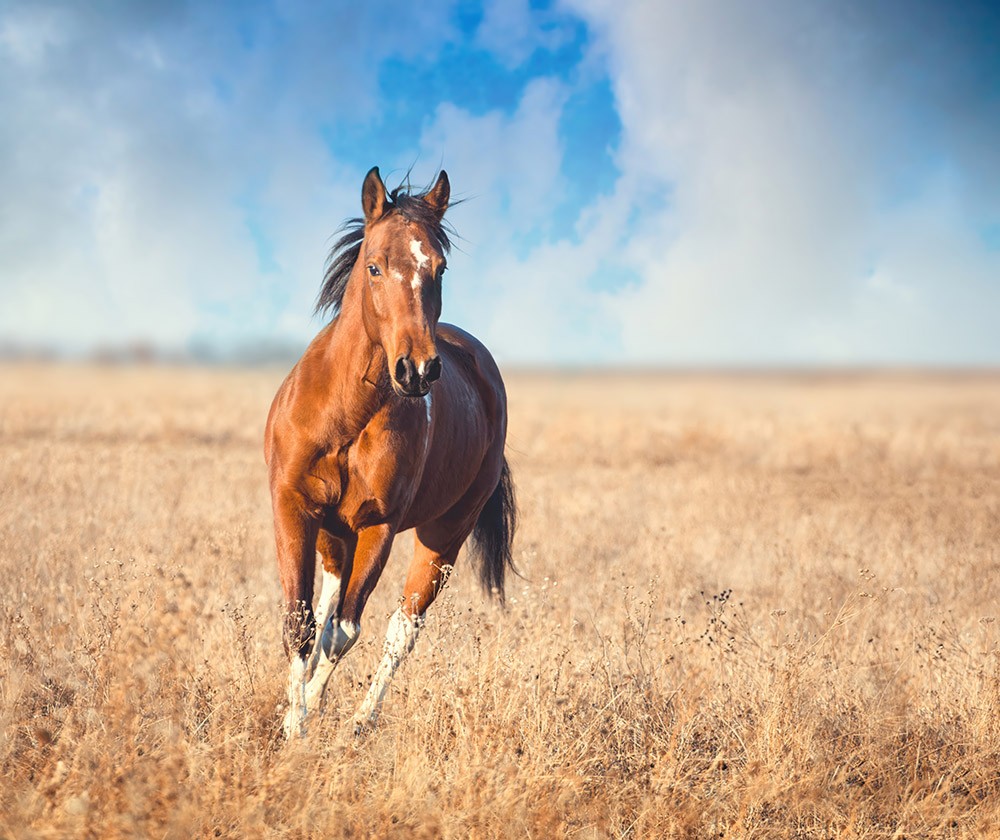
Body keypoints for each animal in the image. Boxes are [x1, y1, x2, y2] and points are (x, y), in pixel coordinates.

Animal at [264, 164, 516, 736]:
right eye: (374, 266)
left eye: (440, 268)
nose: (417, 370)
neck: (345, 415)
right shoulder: (294, 507)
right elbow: (302, 625)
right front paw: (294, 721)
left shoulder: (377, 526)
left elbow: (345, 632)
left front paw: (305, 724)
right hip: (334, 535)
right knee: (328, 609)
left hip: (442, 537)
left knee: (402, 629)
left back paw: (359, 722)